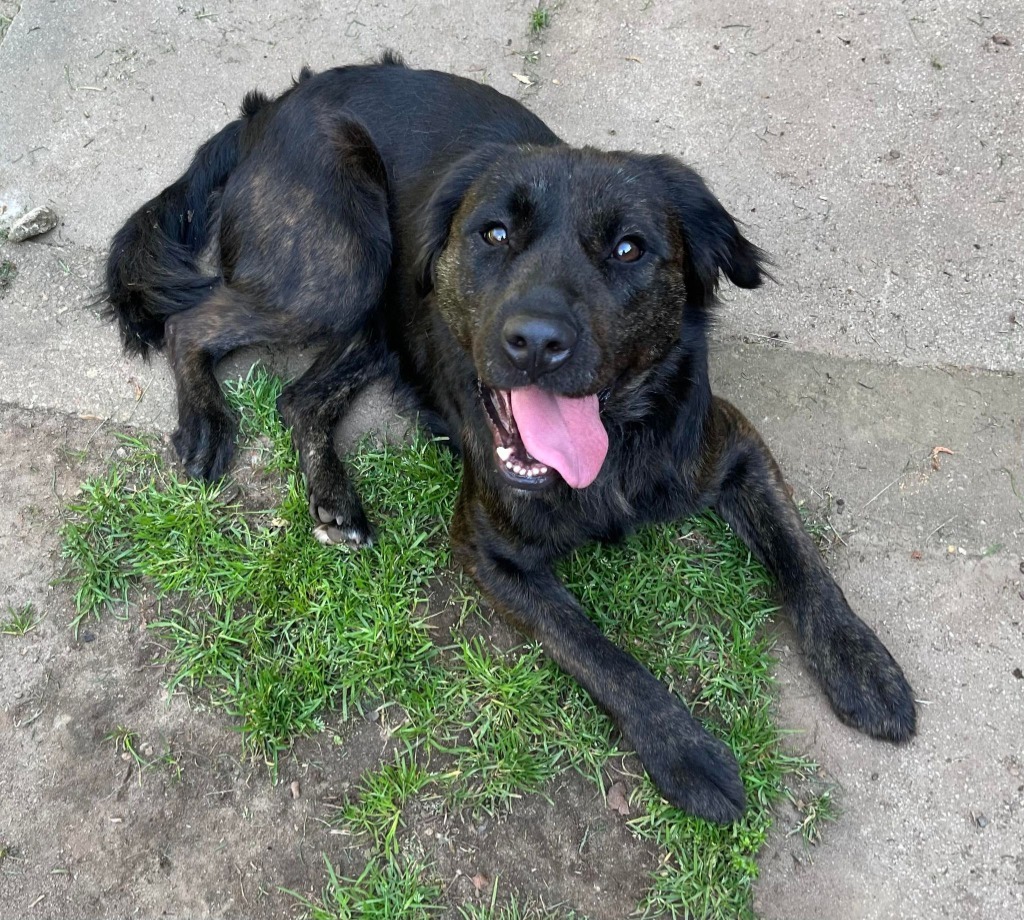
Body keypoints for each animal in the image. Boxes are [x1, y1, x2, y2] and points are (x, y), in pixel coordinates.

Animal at [108, 50, 917, 819]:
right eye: (494, 233)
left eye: (629, 249)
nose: (534, 341)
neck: (610, 460)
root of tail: (270, 107)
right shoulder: (486, 549)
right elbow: (592, 646)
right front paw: (684, 752)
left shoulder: (736, 446)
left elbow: (803, 560)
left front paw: (864, 666)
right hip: (340, 270)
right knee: (192, 325)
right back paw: (205, 424)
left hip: (382, 312)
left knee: (299, 398)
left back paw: (334, 499)